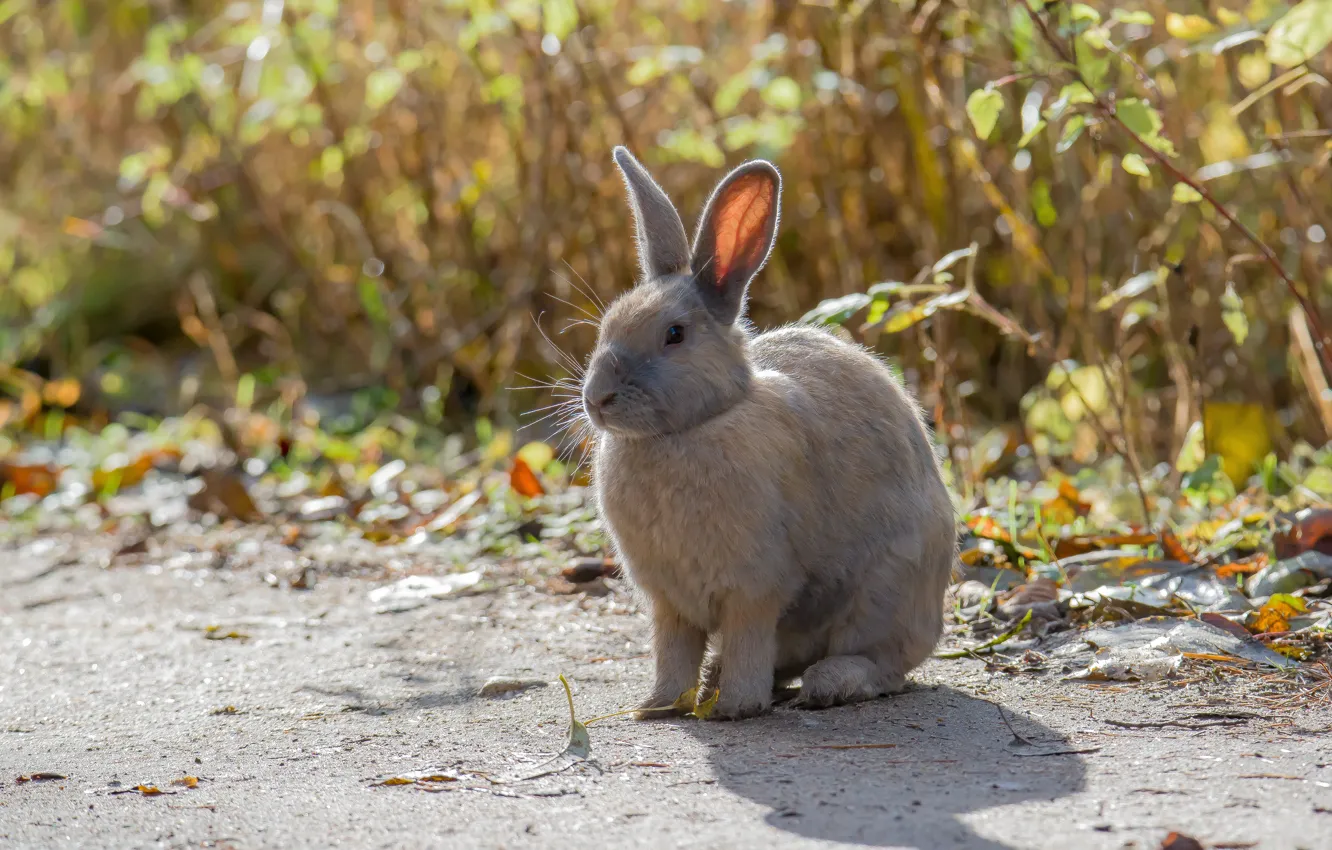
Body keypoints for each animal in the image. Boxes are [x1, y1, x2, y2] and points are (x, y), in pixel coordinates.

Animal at [579, 146, 957, 721]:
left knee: (885, 665)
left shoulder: (754, 588)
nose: (596, 399)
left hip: (885, 593)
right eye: (607, 327)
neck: (691, 427)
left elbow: (748, 640)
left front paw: (737, 707)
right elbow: (673, 651)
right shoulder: (669, 602)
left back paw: (826, 684)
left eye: (674, 335)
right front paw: (660, 705)